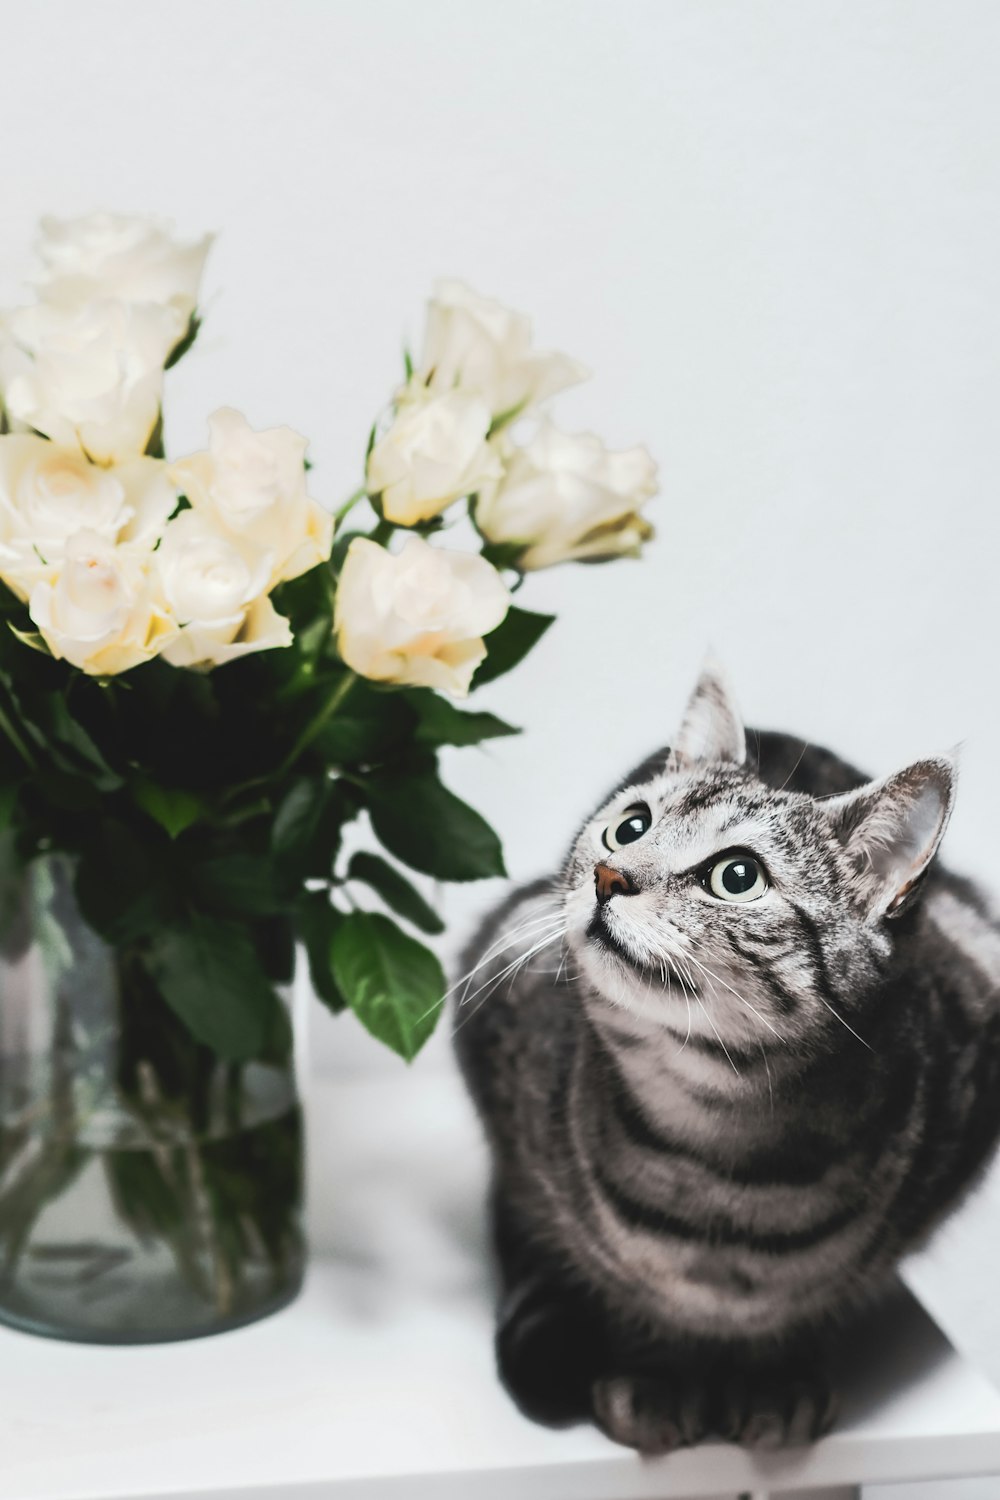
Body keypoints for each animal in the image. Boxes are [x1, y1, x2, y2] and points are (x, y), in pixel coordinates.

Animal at [452, 666, 1000, 1452]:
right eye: (631, 825)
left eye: (737, 877)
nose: (610, 875)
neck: (720, 1159)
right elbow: (621, 1285)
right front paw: (656, 1374)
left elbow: (811, 1303)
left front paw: (777, 1377)